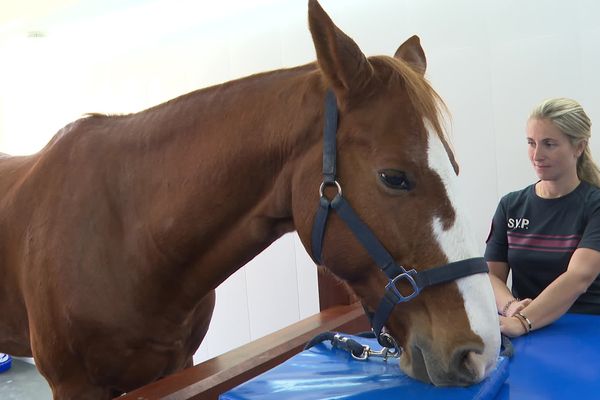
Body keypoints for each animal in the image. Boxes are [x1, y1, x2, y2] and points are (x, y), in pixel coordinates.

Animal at [0, 1, 496, 398]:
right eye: (394, 177)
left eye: (454, 167)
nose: (482, 351)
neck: (124, 238)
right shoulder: (75, 385)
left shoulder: (178, 366)